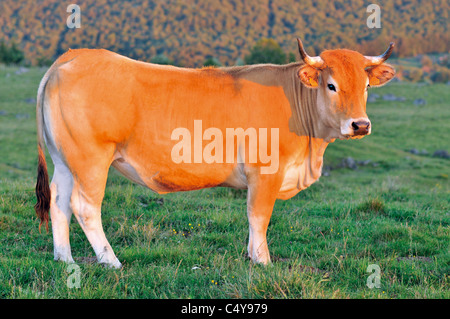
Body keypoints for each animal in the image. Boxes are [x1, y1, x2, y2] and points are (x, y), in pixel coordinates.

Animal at [34, 40, 394, 270]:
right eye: (331, 85)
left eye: (365, 86)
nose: (360, 124)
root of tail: (73, 56)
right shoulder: (265, 172)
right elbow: (259, 216)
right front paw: (262, 261)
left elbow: (253, 219)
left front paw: (251, 255)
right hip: (91, 160)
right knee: (84, 207)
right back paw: (111, 261)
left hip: (65, 161)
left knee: (59, 202)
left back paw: (64, 259)